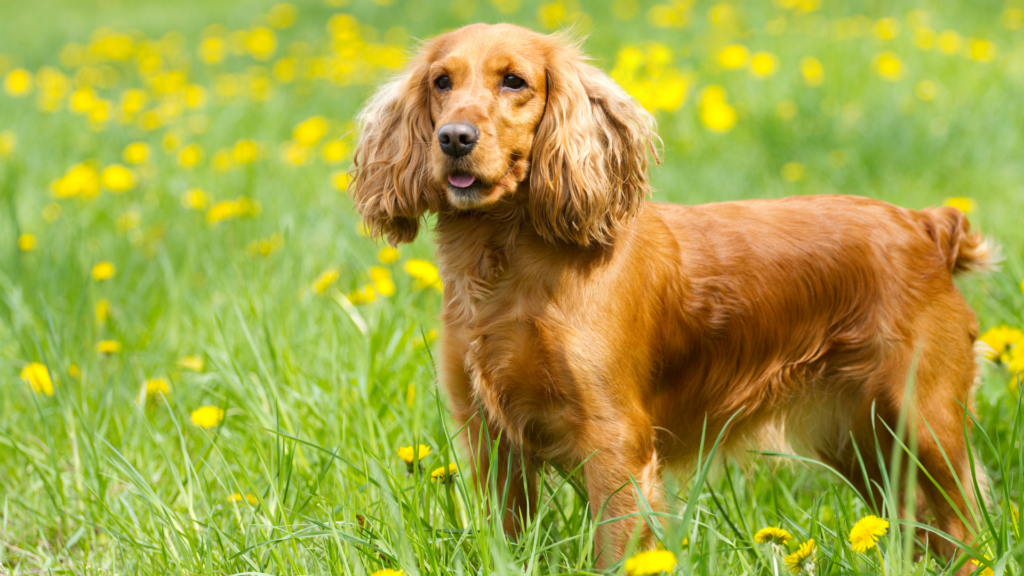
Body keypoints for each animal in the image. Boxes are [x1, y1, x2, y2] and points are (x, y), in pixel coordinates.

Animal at [348, 24, 995, 565]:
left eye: (515, 81)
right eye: (441, 81)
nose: (454, 138)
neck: (509, 265)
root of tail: (927, 225)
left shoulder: (615, 443)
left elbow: (617, 549)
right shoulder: (489, 437)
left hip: (924, 422)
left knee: (964, 525)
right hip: (862, 441)